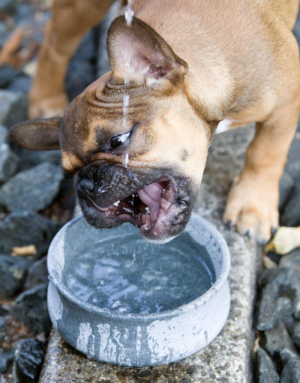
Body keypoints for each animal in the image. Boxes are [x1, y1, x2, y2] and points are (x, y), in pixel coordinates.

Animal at [8, 0, 300, 244]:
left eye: (118, 140)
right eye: (68, 175)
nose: (86, 185)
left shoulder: (285, 106)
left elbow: (265, 154)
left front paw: (252, 207)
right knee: (55, 46)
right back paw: (45, 96)